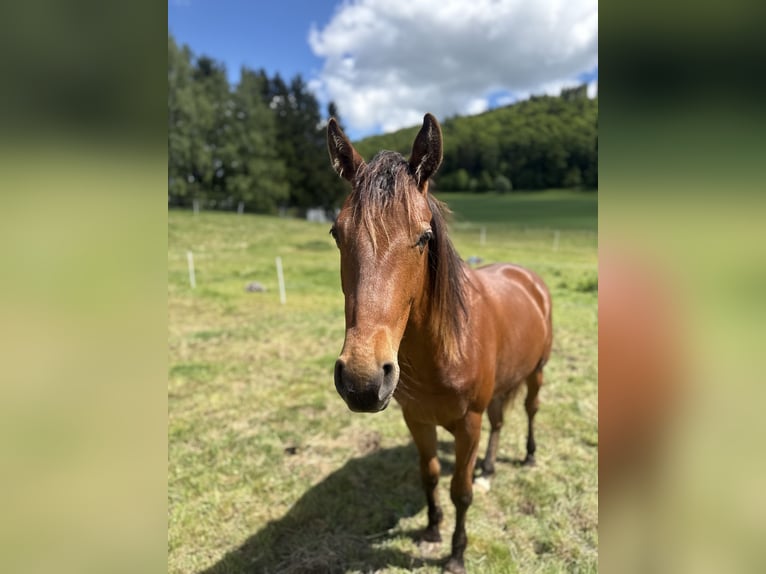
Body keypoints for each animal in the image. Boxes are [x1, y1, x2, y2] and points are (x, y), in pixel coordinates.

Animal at [326, 113, 553, 574]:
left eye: (424, 236)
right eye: (337, 233)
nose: (361, 380)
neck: (443, 351)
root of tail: (528, 278)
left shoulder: (467, 425)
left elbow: (460, 491)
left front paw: (456, 553)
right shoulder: (417, 419)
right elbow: (429, 475)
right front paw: (431, 529)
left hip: (537, 373)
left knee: (530, 411)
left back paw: (529, 455)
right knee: (500, 422)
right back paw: (490, 468)